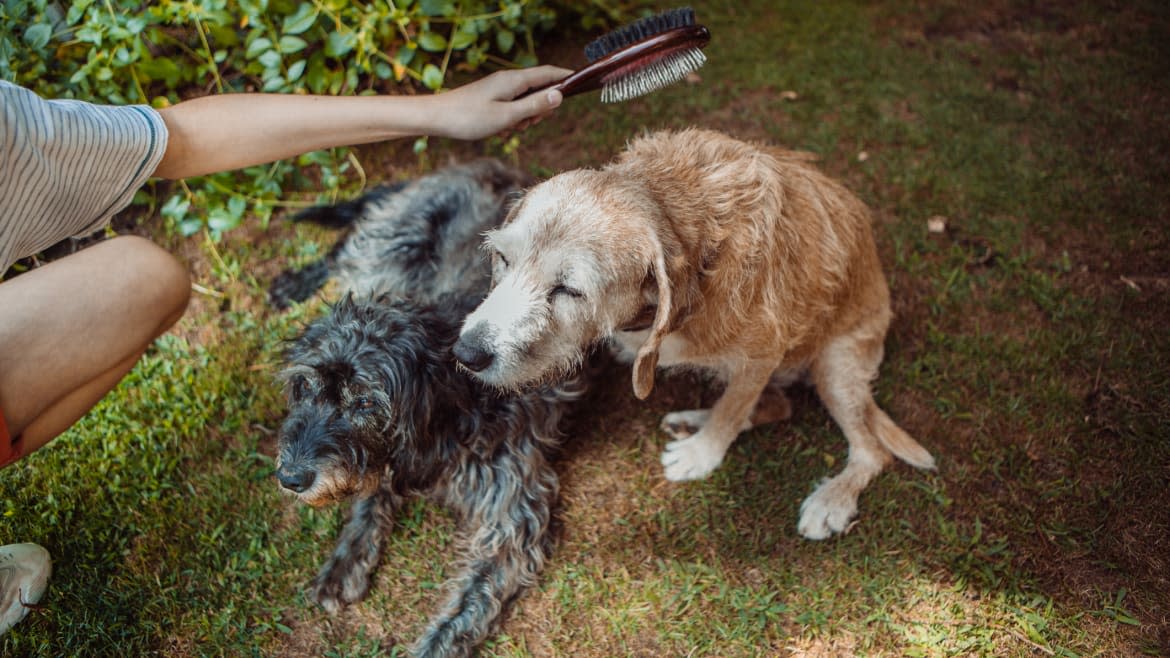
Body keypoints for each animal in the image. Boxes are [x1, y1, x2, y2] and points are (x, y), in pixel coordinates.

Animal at [271, 160, 585, 655]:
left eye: (365, 402)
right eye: (305, 387)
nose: (291, 478)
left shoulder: (513, 518)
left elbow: (468, 605)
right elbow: (372, 491)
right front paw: (347, 556)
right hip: (391, 246)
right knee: (345, 254)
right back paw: (295, 282)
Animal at [451, 128, 935, 538]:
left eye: (570, 289)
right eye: (502, 258)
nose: (466, 352)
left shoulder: (763, 354)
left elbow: (732, 411)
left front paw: (703, 455)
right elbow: (736, 404)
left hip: (834, 368)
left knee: (870, 450)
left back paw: (830, 499)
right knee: (778, 406)